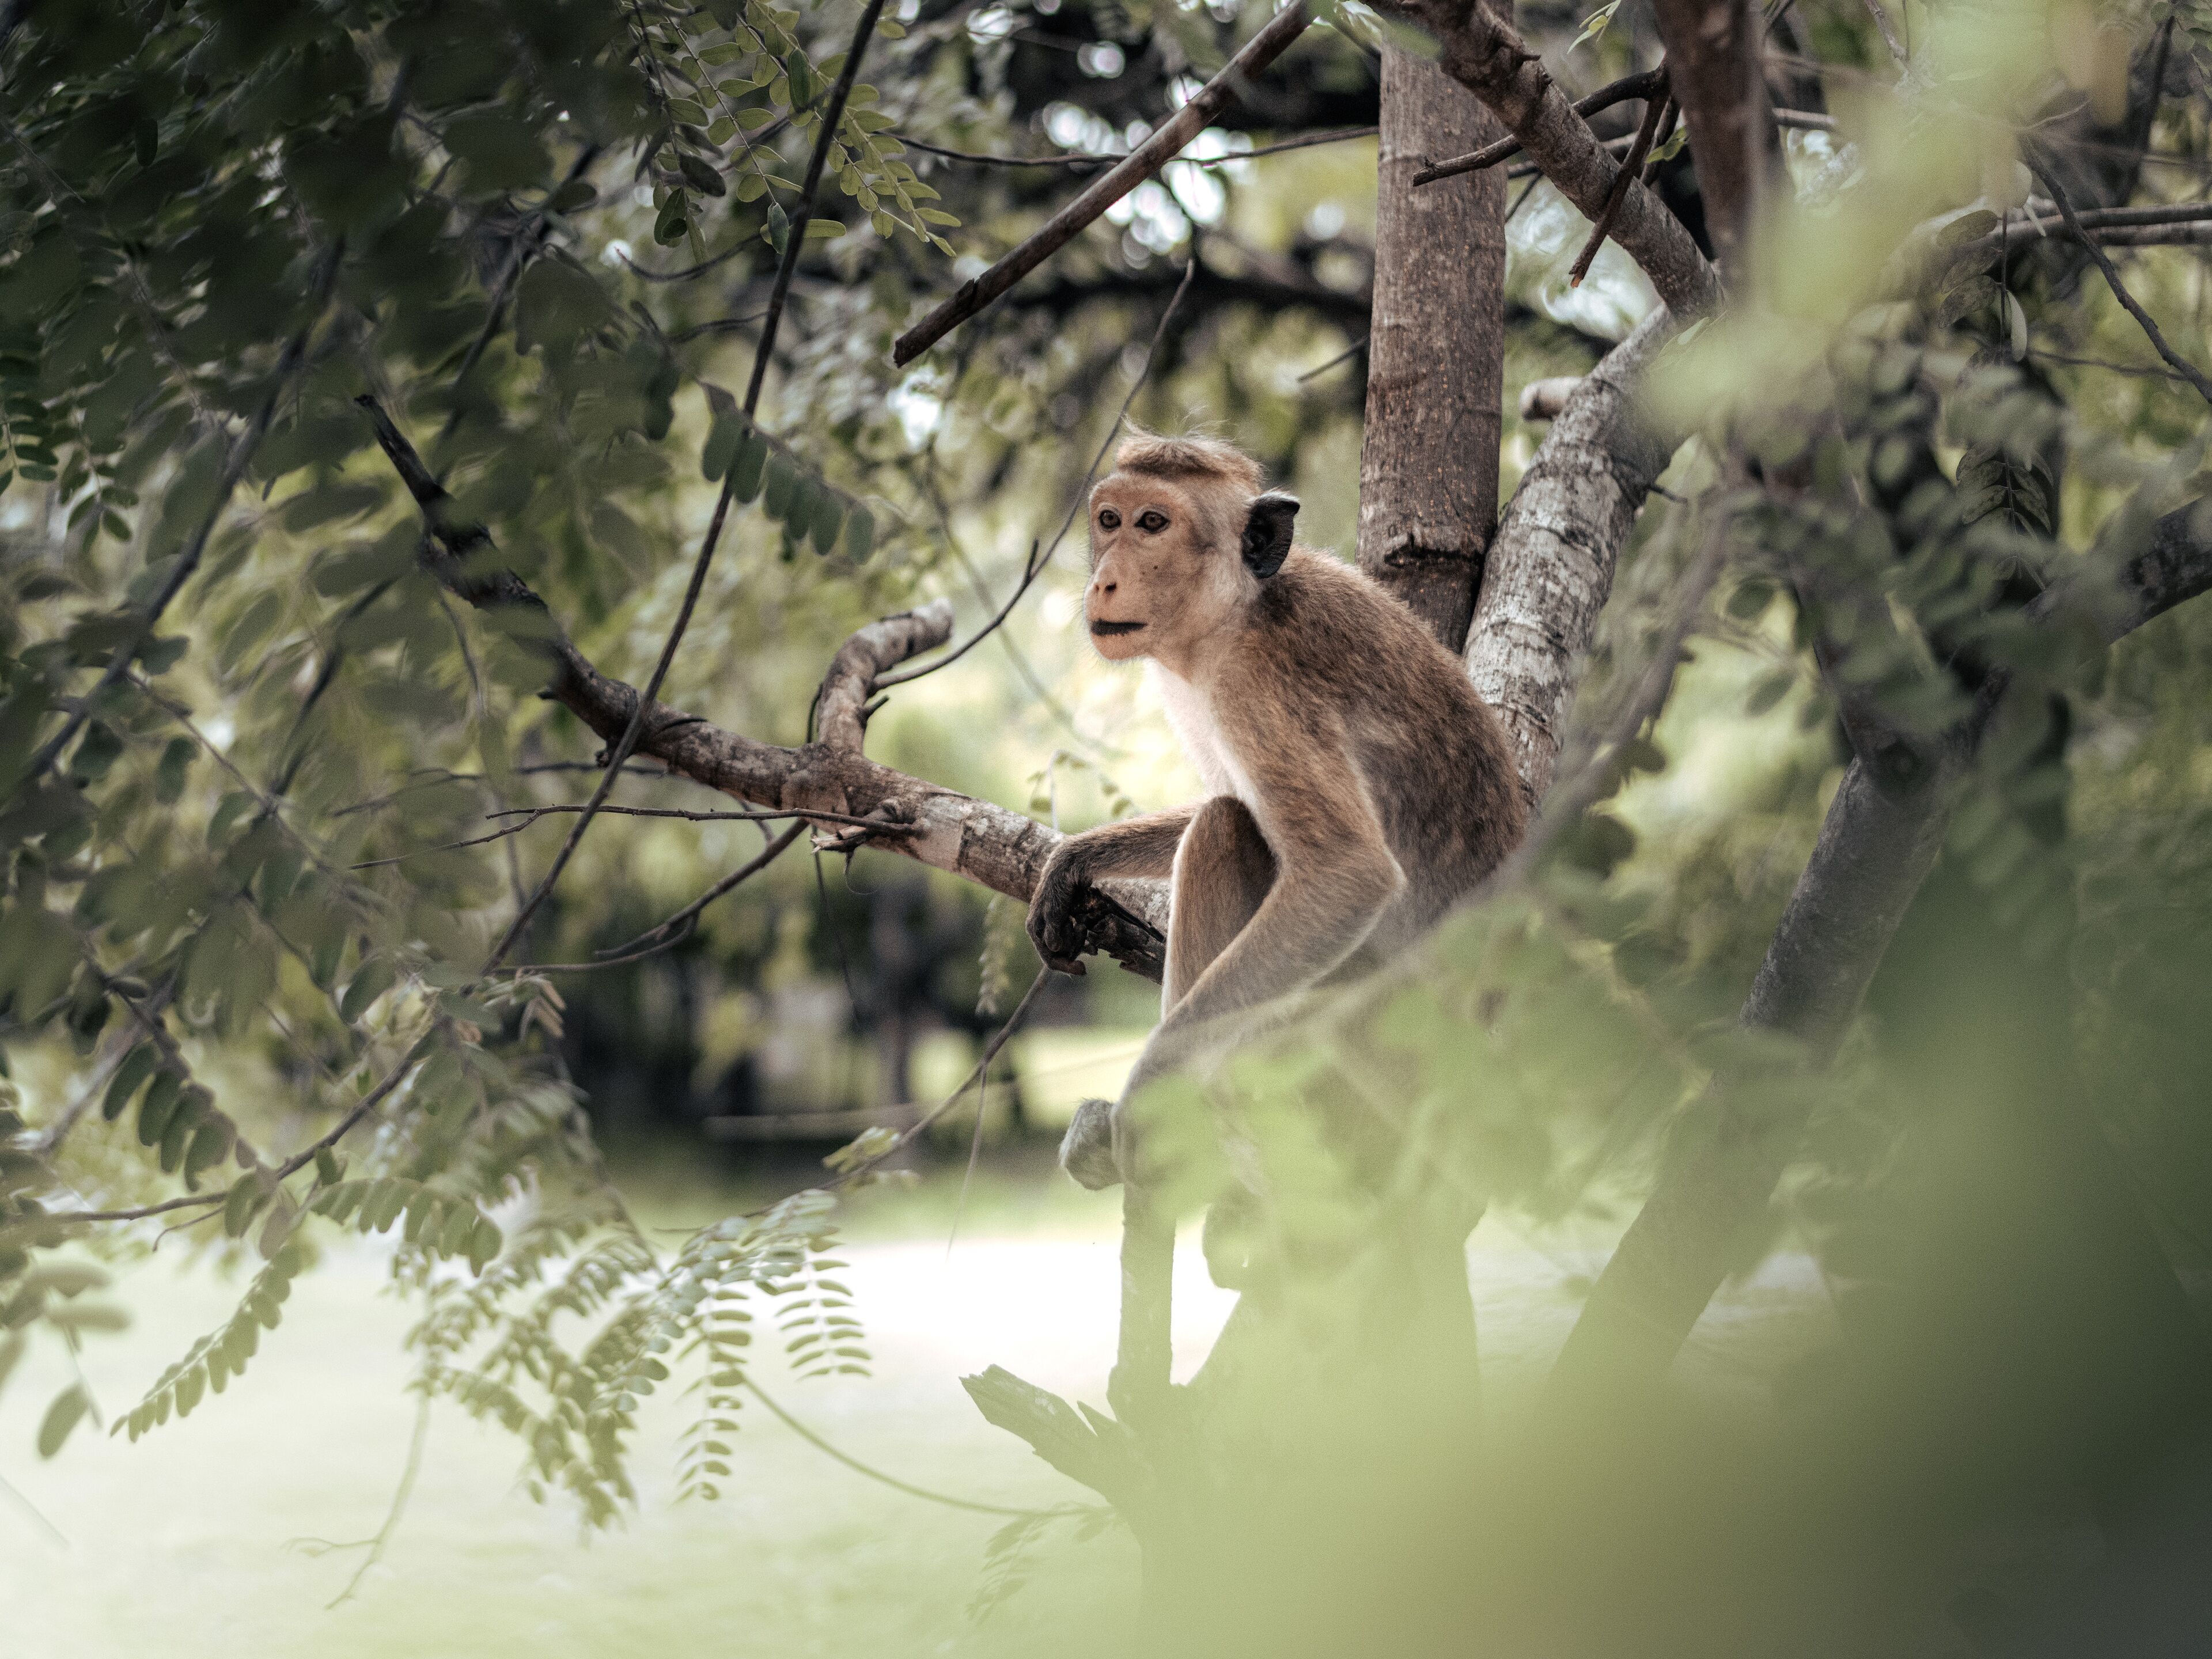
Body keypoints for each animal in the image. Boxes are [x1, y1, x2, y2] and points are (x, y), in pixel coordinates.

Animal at [1027, 433, 1528, 1195]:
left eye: (1153, 523)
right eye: (1109, 521)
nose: (1104, 581)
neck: (1236, 611)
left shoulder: (1257, 685)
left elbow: (1347, 871)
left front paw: (1152, 1081)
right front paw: (1074, 859)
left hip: (1363, 1047)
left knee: (1226, 831)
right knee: (1229, 818)